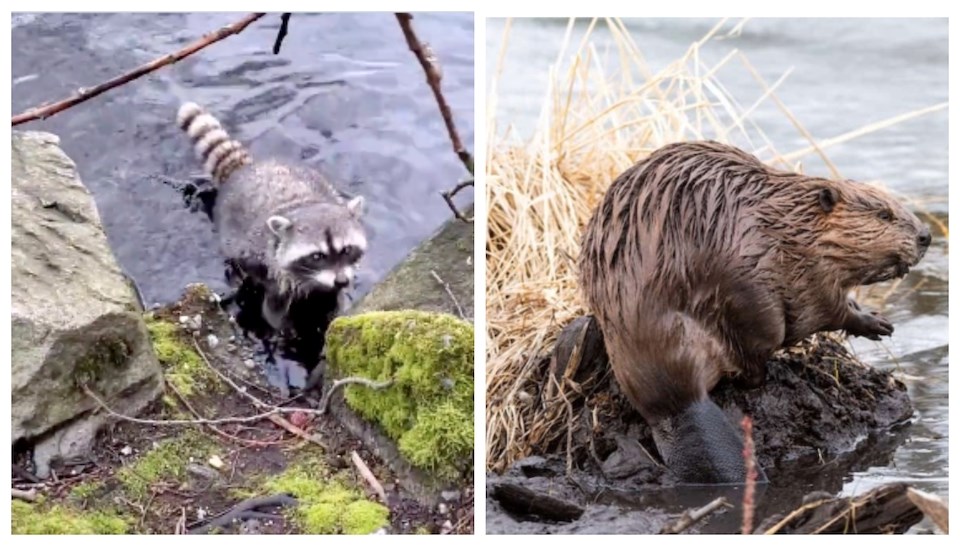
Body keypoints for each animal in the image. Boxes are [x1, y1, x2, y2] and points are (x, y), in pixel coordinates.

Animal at [174, 102, 366, 332]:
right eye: (317, 256)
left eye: (346, 249)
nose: (341, 281)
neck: (305, 204)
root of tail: (248, 168)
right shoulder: (260, 258)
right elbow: (273, 297)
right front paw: (280, 324)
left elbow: (331, 300)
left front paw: (336, 306)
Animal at [576, 138, 928, 482]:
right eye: (884, 214)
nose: (925, 235)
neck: (791, 222)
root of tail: (678, 405)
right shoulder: (808, 274)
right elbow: (827, 309)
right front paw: (876, 323)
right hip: (751, 304)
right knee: (753, 364)